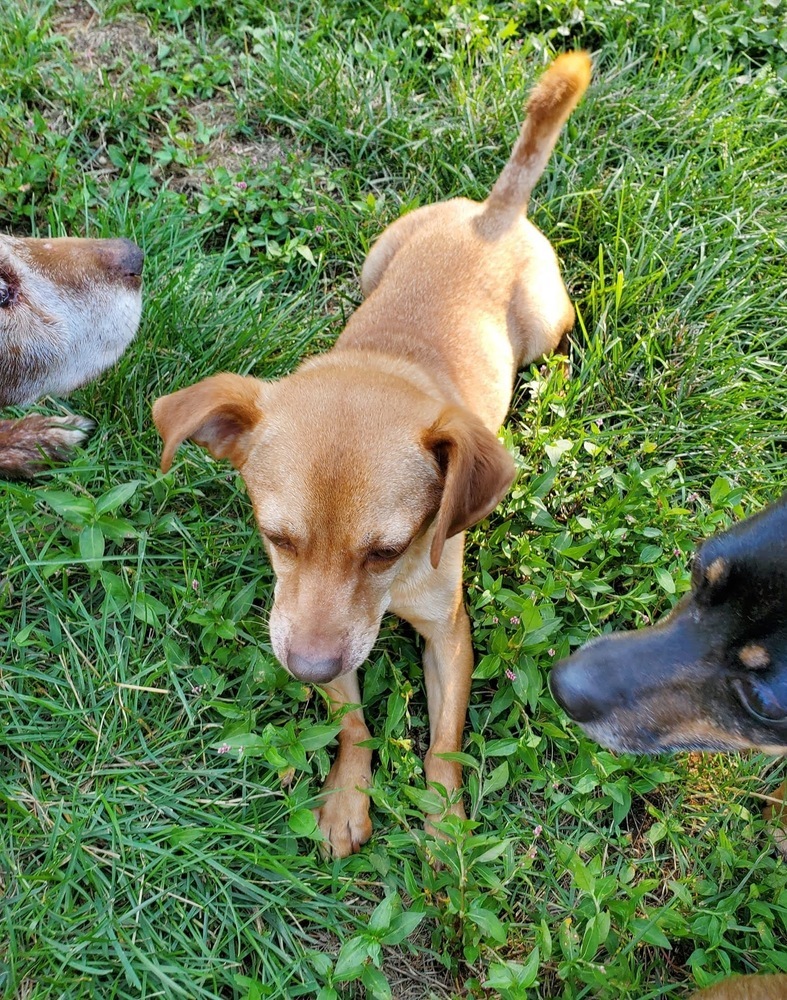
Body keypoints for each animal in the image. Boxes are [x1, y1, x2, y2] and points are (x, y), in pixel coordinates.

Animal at [152, 52, 592, 860]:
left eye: (387, 550)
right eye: (275, 537)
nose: (306, 667)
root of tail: (491, 215)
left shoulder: (449, 635)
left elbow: (444, 742)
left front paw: (444, 827)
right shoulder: (305, 624)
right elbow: (352, 722)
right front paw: (346, 799)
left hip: (550, 325)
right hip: (372, 260)